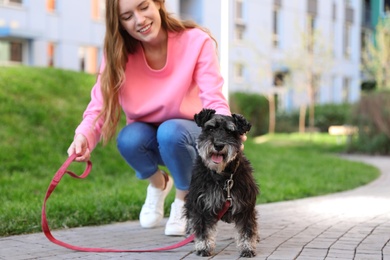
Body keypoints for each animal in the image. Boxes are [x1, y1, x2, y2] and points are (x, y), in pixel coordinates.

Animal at [184, 108, 260, 258]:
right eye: (210, 128)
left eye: (230, 132)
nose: (218, 145)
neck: (222, 175)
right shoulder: (201, 204)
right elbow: (203, 228)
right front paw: (203, 247)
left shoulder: (245, 206)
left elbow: (247, 229)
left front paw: (247, 248)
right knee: (190, 217)